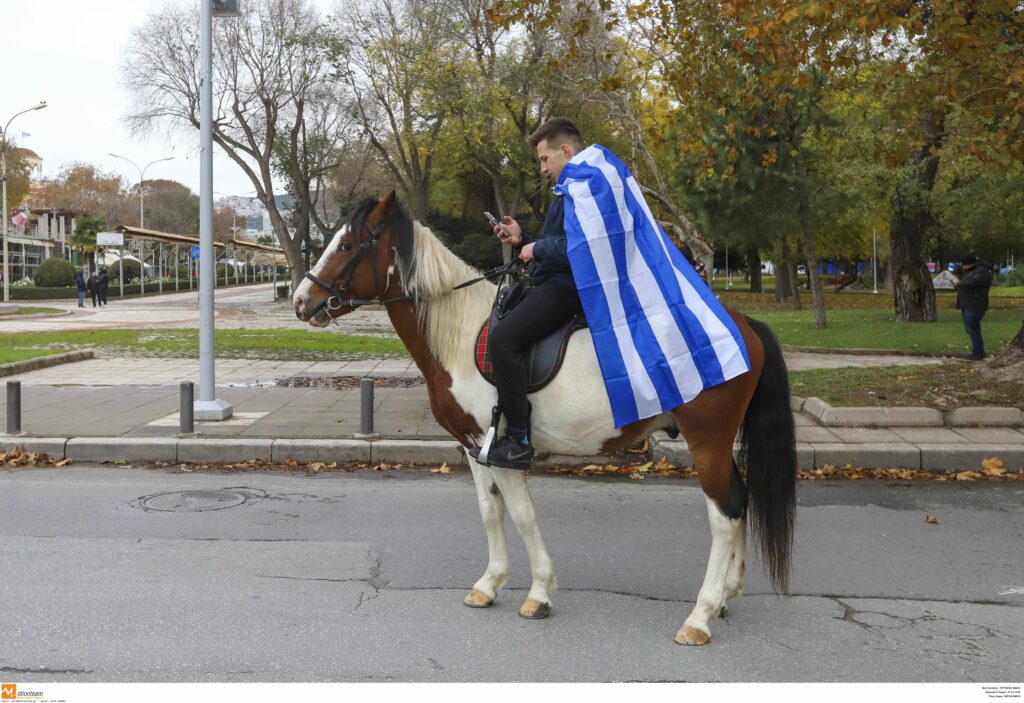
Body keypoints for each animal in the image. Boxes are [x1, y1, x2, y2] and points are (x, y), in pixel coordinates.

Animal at [292, 192, 794, 650]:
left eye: (346, 244)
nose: (300, 300)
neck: (460, 333)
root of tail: (742, 323)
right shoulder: (474, 447)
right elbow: (490, 512)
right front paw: (489, 584)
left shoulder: (502, 448)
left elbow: (522, 514)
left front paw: (538, 592)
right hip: (719, 443)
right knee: (740, 499)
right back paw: (727, 595)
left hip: (706, 440)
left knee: (724, 515)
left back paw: (700, 616)